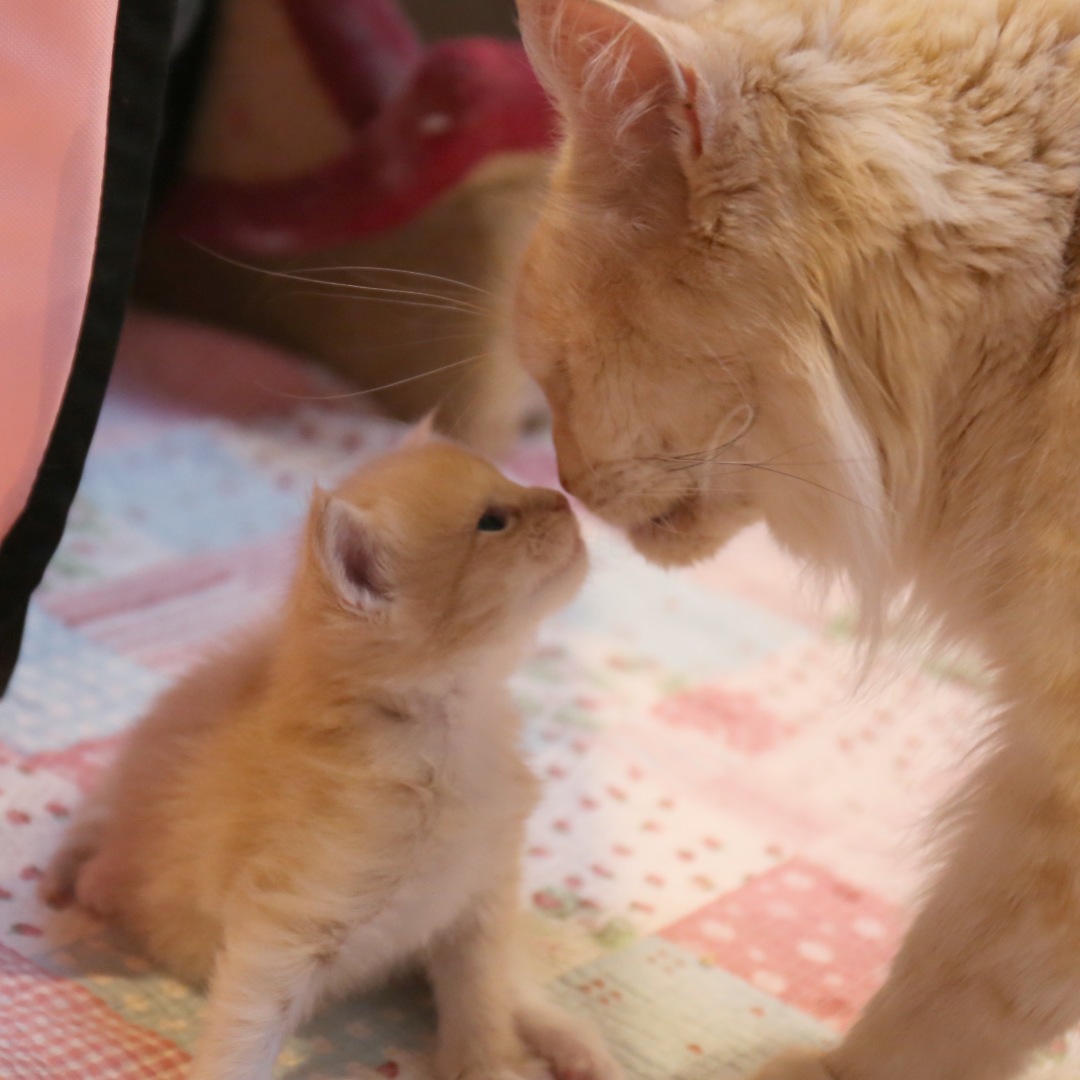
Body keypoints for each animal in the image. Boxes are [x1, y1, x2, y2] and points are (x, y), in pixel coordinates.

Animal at [44, 434, 617, 1080]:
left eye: (510, 481)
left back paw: (571, 1042)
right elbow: (247, 1029)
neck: (445, 737)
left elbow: (483, 1003)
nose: (563, 498)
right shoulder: (288, 923)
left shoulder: (479, 897)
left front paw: (486, 1064)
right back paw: (92, 876)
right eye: (492, 522)